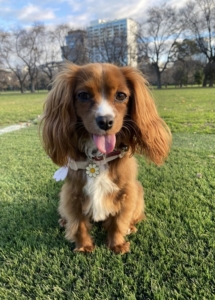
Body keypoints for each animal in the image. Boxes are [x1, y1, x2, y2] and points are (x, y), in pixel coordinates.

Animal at [41, 62, 170, 253]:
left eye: (121, 95)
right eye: (83, 95)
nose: (105, 121)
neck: (98, 158)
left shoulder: (126, 193)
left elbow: (118, 222)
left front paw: (117, 245)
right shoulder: (72, 194)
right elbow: (78, 224)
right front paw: (84, 247)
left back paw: (131, 227)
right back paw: (64, 221)